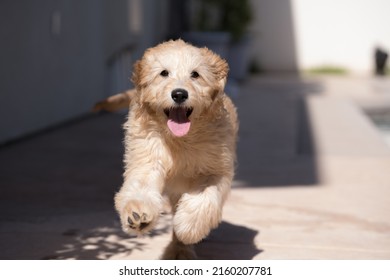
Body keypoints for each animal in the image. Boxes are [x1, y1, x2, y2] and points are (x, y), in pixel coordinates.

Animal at [97, 38, 238, 258]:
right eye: (164, 73)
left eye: (195, 74)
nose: (179, 94)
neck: (180, 140)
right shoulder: (147, 158)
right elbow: (141, 188)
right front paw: (138, 213)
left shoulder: (215, 169)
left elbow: (204, 197)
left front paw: (189, 226)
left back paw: (181, 247)